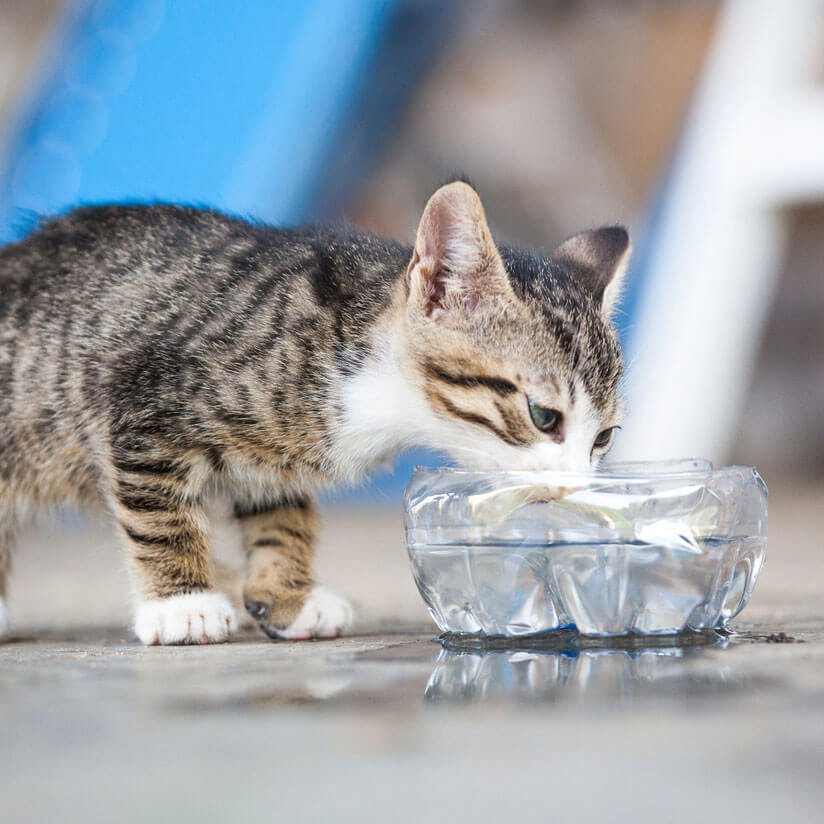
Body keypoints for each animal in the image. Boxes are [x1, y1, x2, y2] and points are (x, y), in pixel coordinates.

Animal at [0, 180, 628, 644]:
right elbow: (160, 516)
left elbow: (282, 516)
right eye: (543, 416)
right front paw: (183, 604)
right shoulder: (142, 404)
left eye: (604, 438)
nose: (579, 486)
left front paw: (285, 596)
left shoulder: (270, 456)